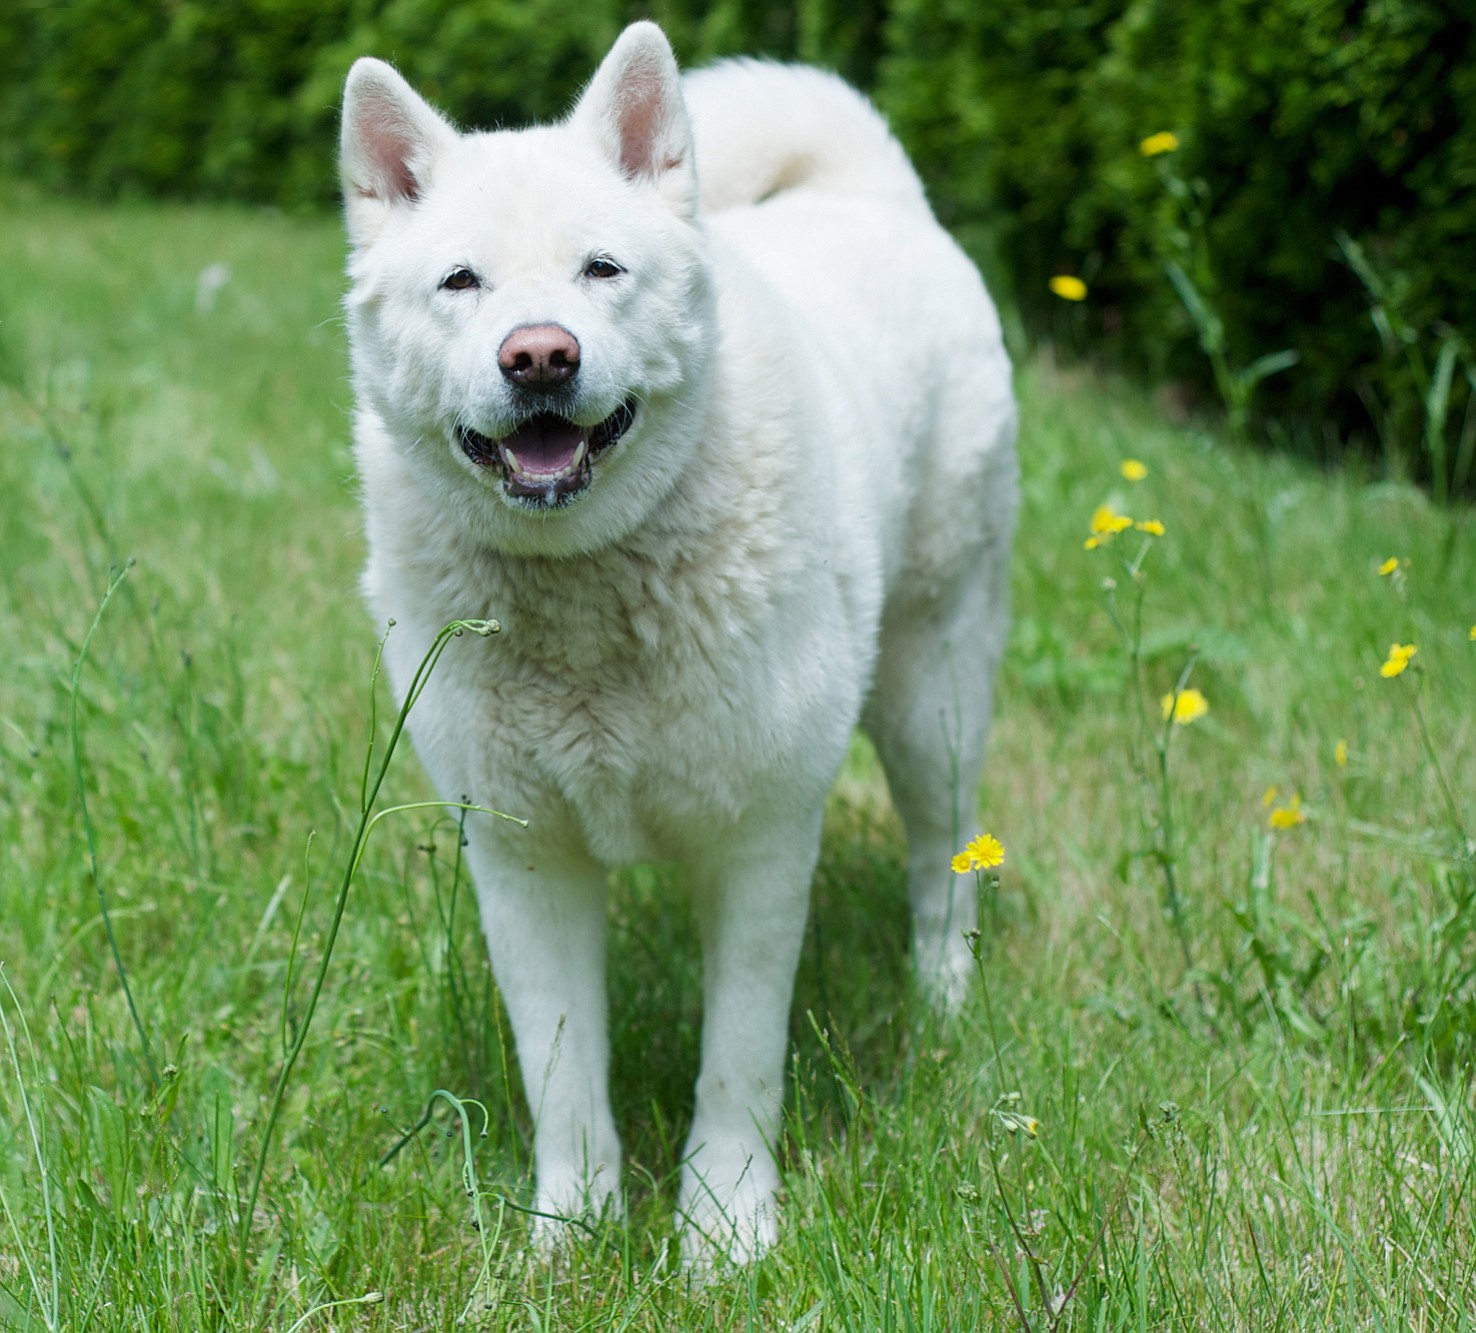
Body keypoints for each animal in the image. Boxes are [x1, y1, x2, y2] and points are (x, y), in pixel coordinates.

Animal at [339, 26, 1015, 1269]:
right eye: (461, 281)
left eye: (602, 270)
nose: (540, 357)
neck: (589, 592)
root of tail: (872, 191)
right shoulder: (523, 860)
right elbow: (560, 1068)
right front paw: (571, 1236)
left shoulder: (759, 843)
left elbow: (738, 1063)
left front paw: (725, 1229)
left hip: (932, 694)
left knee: (943, 864)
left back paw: (943, 1005)